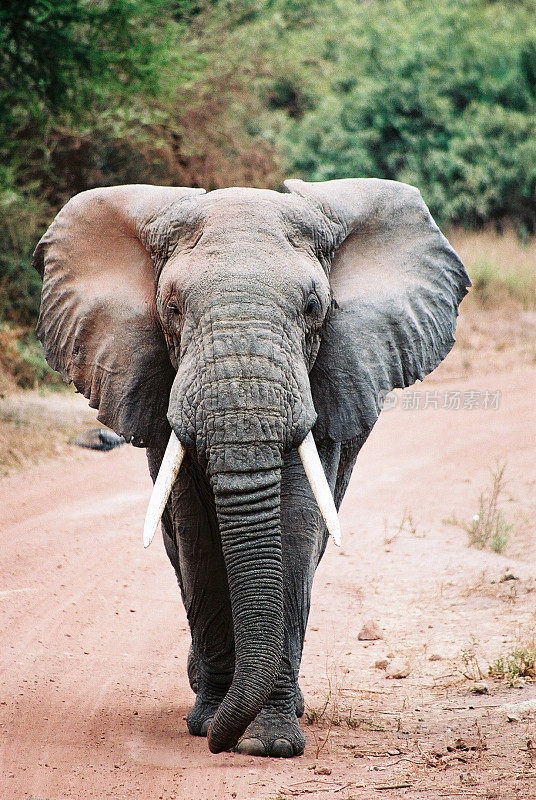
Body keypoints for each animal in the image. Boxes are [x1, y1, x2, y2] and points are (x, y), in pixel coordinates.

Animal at [33, 178, 468, 760]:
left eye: (314, 307)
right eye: (171, 308)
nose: (222, 741)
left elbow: (296, 527)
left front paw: (269, 742)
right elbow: (196, 534)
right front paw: (211, 725)